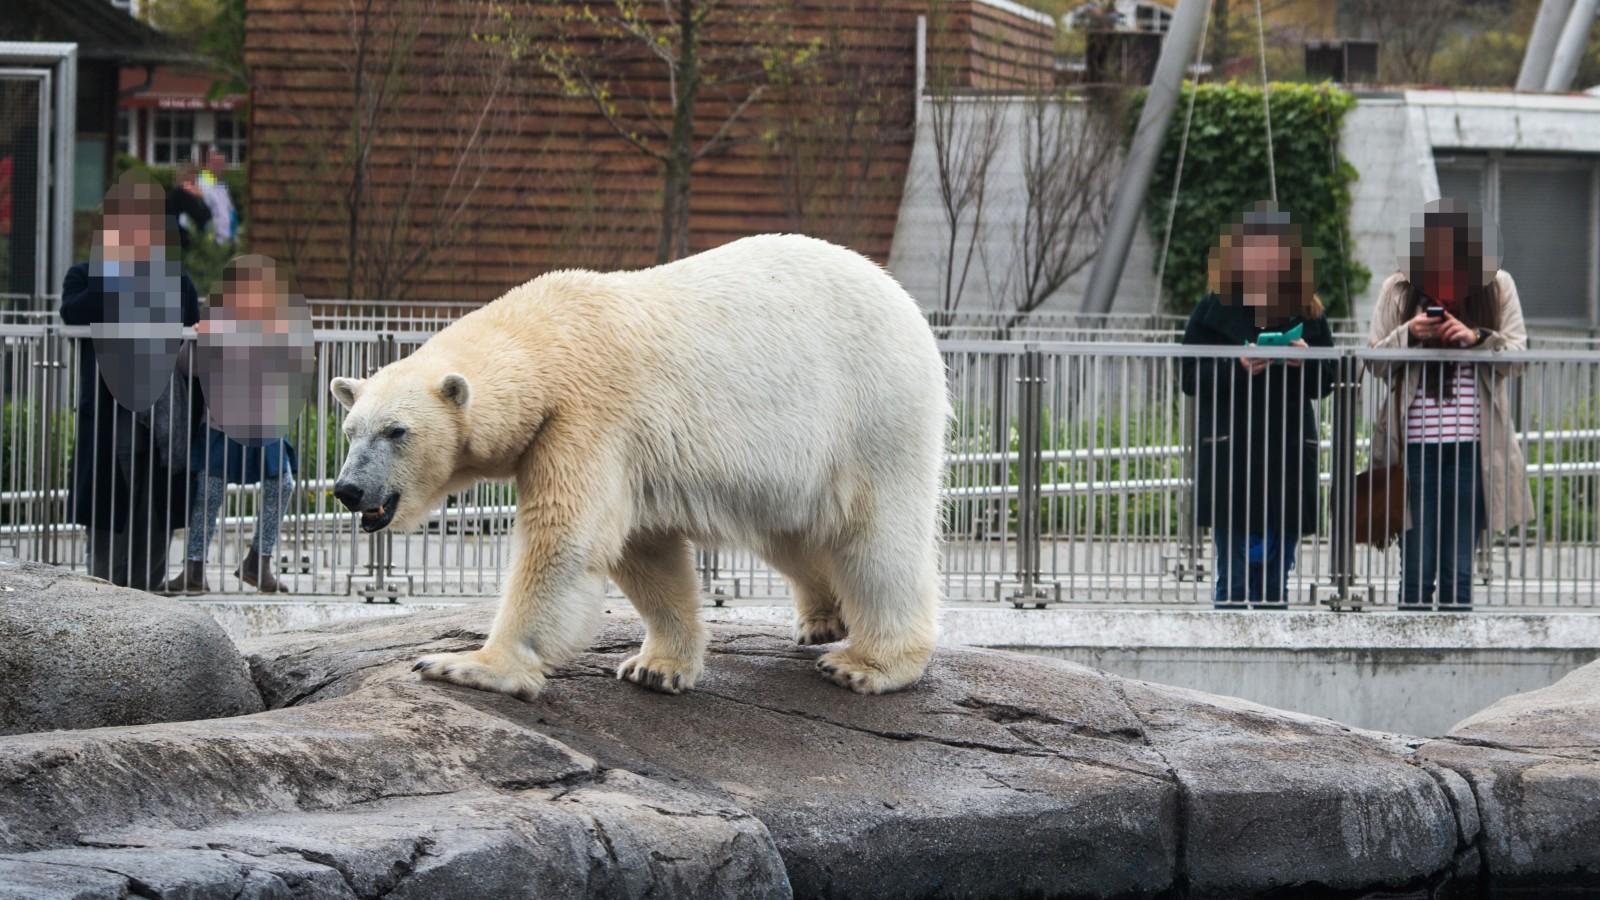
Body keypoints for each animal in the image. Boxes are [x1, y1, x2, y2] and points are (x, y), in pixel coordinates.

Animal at [329, 237, 940, 701]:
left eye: (396, 431)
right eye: (351, 430)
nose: (348, 489)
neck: (547, 338)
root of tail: (902, 300)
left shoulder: (587, 417)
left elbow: (563, 543)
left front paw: (465, 663)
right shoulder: (626, 451)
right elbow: (643, 551)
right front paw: (656, 667)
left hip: (871, 413)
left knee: (876, 539)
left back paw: (865, 663)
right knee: (792, 534)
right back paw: (823, 618)